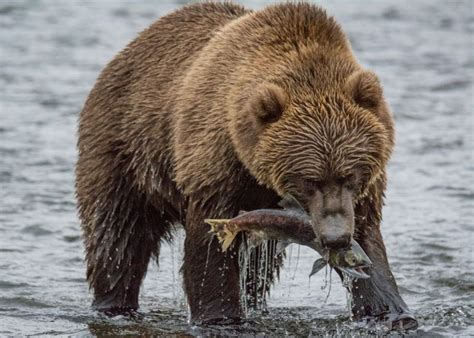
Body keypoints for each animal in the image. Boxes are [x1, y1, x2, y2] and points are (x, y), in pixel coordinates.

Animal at [77, 1, 418, 328]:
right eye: (310, 180)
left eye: (350, 176)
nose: (336, 237)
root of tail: (131, 46)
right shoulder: (217, 163)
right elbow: (211, 250)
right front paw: (221, 317)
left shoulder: (360, 194)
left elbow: (368, 240)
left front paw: (390, 313)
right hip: (126, 150)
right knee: (118, 237)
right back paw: (114, 304)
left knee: (257, 268)